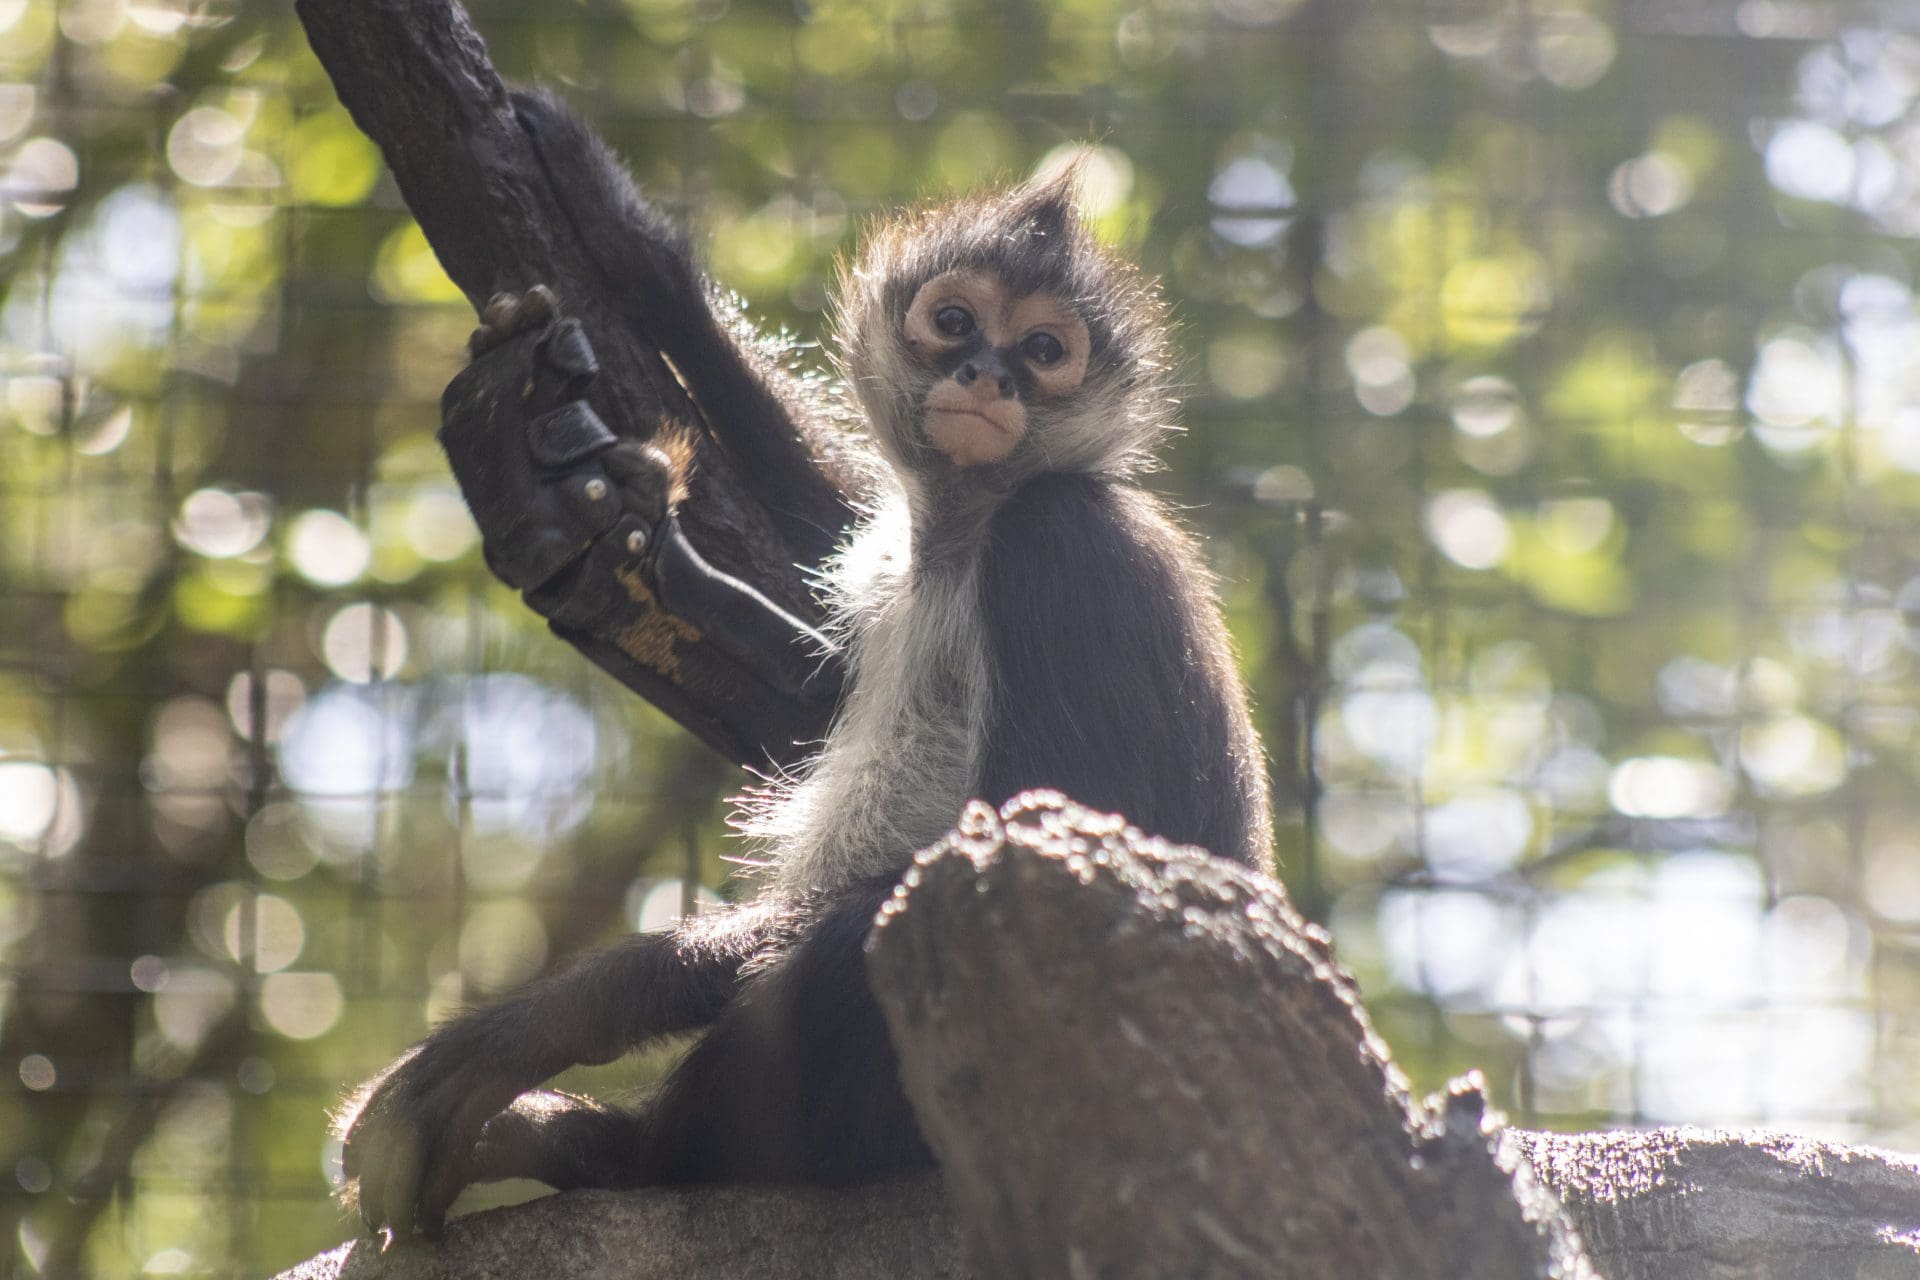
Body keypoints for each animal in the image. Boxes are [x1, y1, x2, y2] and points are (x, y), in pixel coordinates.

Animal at [336, 92, 1273, 1240]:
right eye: (955, 324)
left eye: (1047, 347)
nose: (989, 375)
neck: (962, 534)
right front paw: (643, 257)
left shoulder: (1063, 539)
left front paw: (560, 1014)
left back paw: (623, 1152)